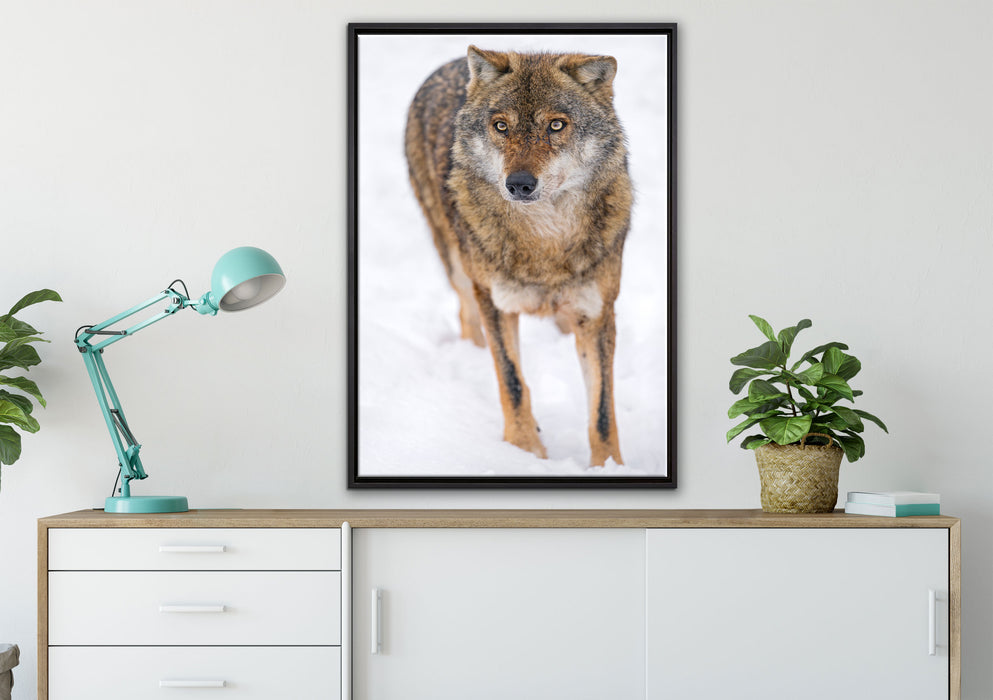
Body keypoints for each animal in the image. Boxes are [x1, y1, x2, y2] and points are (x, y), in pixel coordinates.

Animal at [405, 46, 632, 467]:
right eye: (501, 126)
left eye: (556, 125)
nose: (520, 184)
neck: (545, 242)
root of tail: (450, 65)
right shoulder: (497, 304)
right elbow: (512, 382)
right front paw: (524, 451)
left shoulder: (598, 314)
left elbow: (602, 411)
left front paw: (610, 467)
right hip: (458, 267)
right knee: (467, 317)